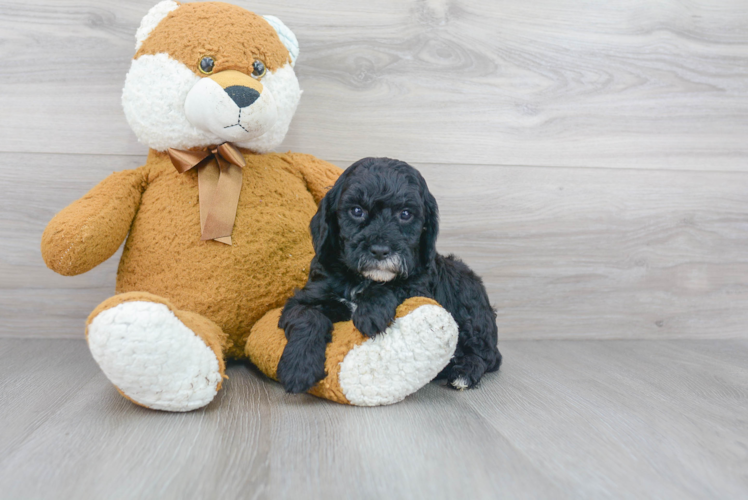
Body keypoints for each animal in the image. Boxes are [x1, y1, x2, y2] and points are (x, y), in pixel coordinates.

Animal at [276, 158, 502, 392]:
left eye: (405, 214)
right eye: (357, 210)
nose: (380, 250)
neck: (362, 278)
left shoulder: (420, 288)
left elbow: (397, 286)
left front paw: (371, 312)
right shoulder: (308, 296)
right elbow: (307, 316)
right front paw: (298, 367)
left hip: (469, 303)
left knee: (488, 355)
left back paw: (463, 372)